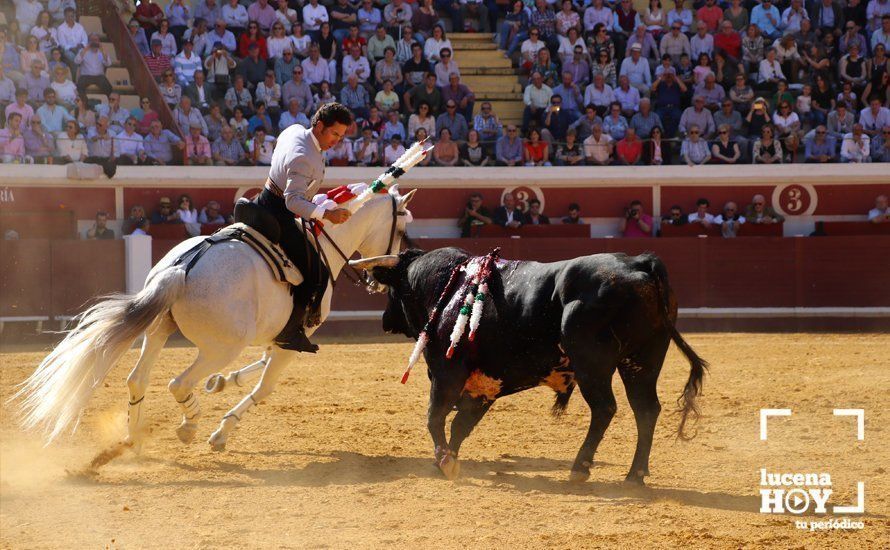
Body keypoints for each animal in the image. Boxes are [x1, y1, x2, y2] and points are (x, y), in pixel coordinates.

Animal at [13, 188, 414, 454]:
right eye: (400, 230)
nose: (380, 279)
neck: (324, 246)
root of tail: (179, 269)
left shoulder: (278, 334)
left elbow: (261, 363)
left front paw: (224, 383)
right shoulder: (296, 337)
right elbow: (266, 386)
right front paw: (221, 432)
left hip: (159, 330)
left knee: (137, 379)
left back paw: (133, 438)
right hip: (221, 346)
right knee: (177, 383)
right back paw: (190, 425)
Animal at [364, 248, 704, 486]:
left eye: (393, 289)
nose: (384, 321)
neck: (449, 287)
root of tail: (640, 263)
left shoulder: (446, 372)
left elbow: (435, 417)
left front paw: (445, 462)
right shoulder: (483, 387)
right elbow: (460, 425)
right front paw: (448, 459)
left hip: (592, 363)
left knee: (605, 408)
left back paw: (580, 469)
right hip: (642, 362)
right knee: (645, 410)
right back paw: (635, 474)